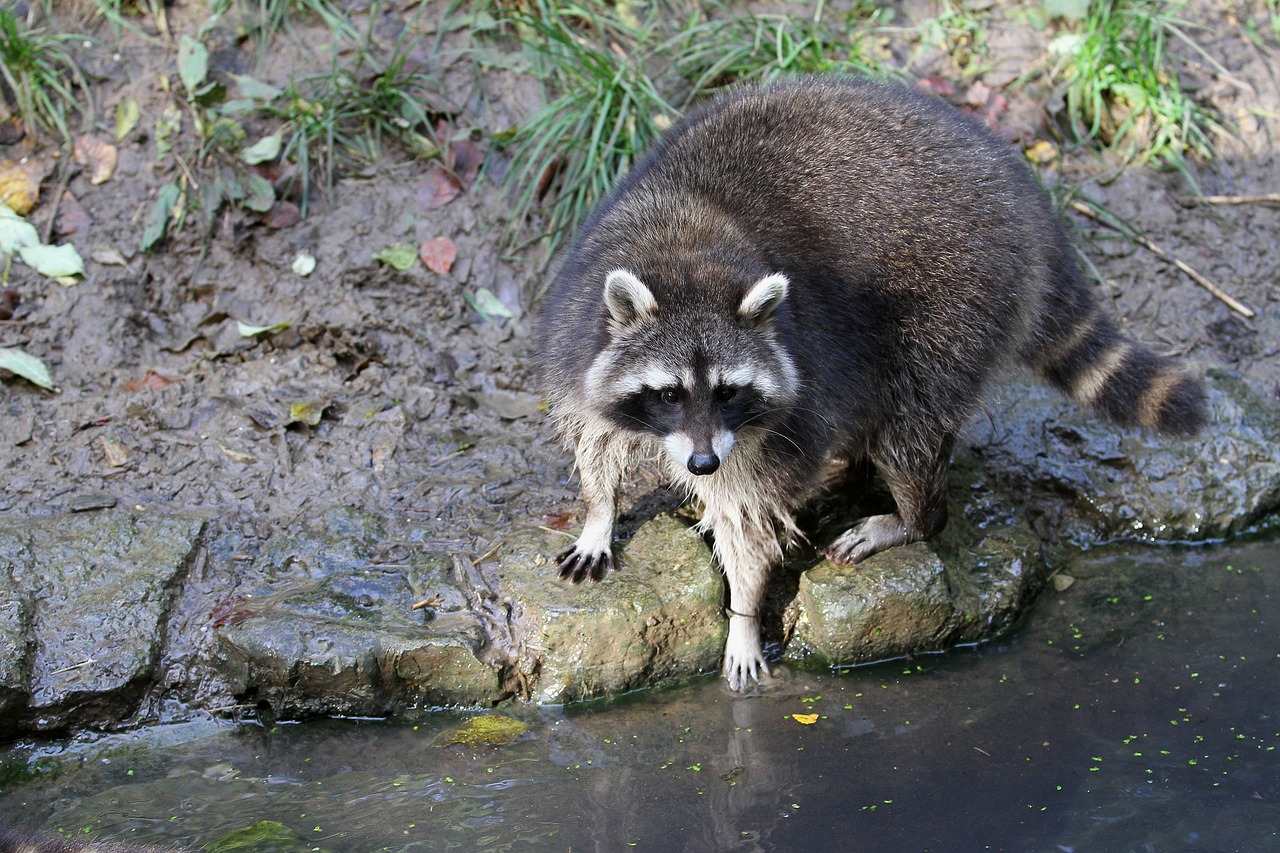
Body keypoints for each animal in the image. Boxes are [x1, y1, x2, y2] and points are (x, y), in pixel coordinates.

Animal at [535, 76, 1203, 686]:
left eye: (728, 391)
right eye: (669, 393)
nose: (702, 464)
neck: (685, 249)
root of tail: (1022, 194)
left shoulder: (786, 391)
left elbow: (749, 509)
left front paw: (744, 610)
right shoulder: (577, 329)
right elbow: (595, 433)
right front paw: (599, 511)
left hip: (955, 299)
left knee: (910, 423)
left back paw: (914, 515)